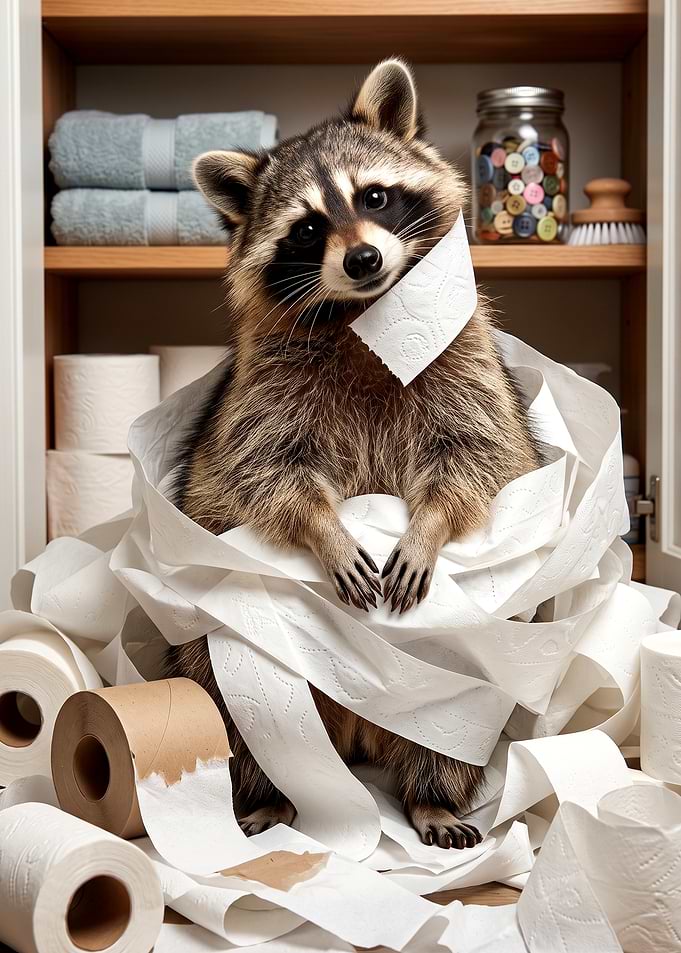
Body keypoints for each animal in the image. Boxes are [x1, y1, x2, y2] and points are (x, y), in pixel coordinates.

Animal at [167, 60, 540, 850]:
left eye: (374, 196)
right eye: (308, 228)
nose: (364, 257)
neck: (361, 309)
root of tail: (363, 734)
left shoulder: (464, 359)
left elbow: (479, 456)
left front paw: (429, 524)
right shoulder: (264, 384)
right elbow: (261, 470)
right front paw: (323, 527)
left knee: (460, 712)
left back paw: (433, 794)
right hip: (245, 682)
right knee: (226, 698)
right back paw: (269, 792)